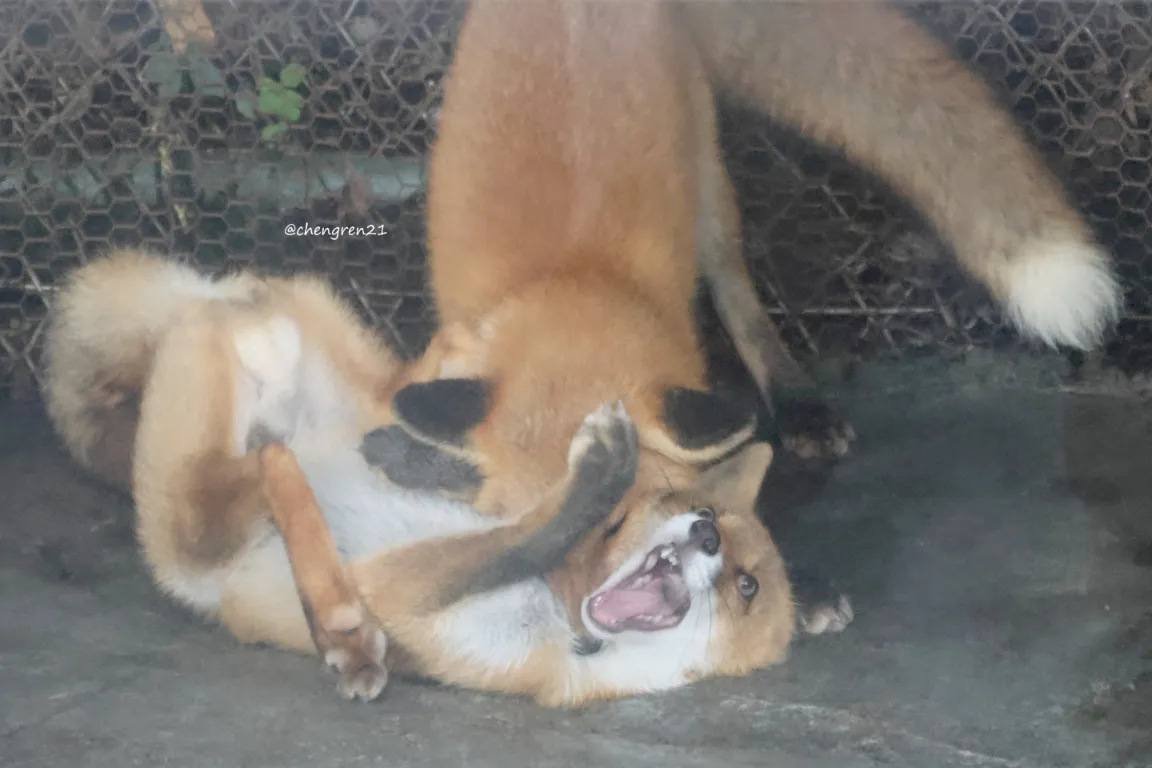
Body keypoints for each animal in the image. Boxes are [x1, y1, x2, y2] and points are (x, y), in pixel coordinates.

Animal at [42, 250, 818, 706]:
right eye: (697, 510)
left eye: (747, 586)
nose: (705, 533)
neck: (565, 605)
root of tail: (213, 300)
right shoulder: (493, 525)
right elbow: (517, 528)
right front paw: (592, 481)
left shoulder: (415, 604)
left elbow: (507, 543)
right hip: (374, 380)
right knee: (391, 410)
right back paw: (402, 458)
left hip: (192, 524)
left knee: (268, 461)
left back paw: (340, 623)